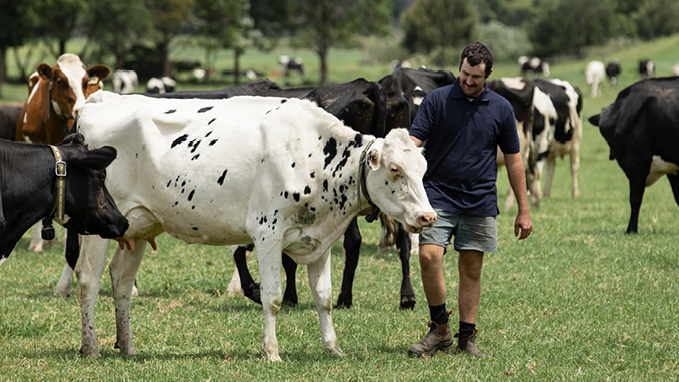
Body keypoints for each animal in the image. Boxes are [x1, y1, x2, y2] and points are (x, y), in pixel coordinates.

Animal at [74, 92, 436, 362]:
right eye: (395, 169)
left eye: (422, 168)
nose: (428, 217)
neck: (313, 153)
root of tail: (101, 99)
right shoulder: (267, 233)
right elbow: (272, 297)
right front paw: (271, 352)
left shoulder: (320, 241)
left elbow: (324, 299)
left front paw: (332, 348)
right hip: (98, 227)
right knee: (89, 280)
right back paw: (91, 348)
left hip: (138, 225)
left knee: (121, 281)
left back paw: (128, 347)